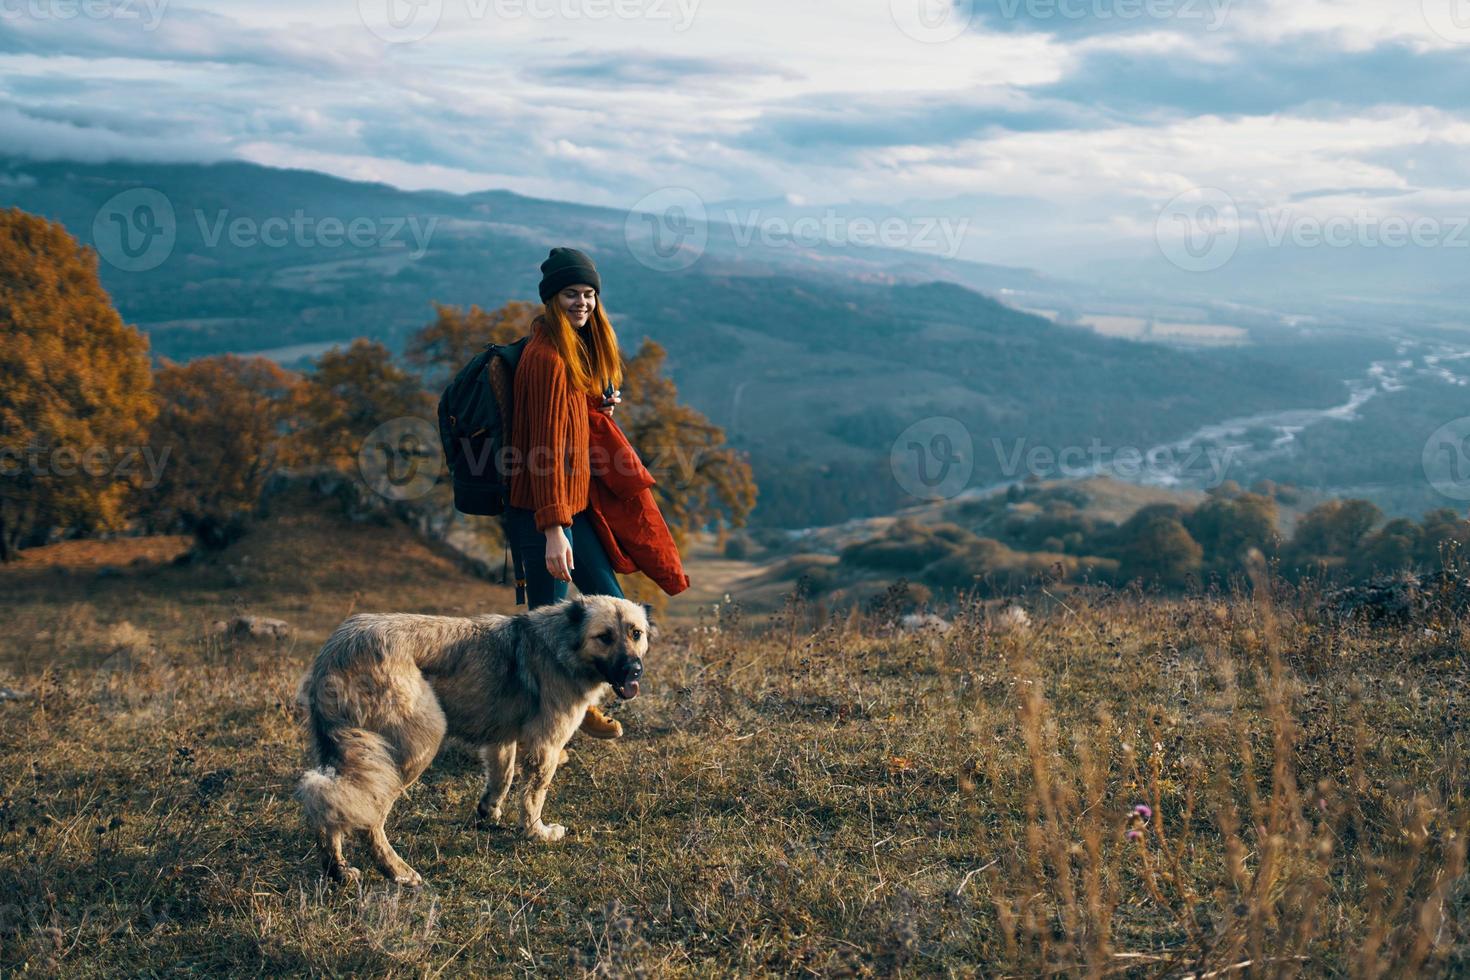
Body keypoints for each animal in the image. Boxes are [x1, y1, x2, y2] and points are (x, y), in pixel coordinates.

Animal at [292, 593, 649, 887]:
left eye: (636, 633)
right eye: (604, 637)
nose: (634, 670)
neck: (561, 645)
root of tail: (336, 651)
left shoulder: (501, 739)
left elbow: (502, 777)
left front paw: (489, 812)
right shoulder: (546, 745)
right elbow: (534, 796)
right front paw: (537, 832)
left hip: (344, 754)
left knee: (331, 804)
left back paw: (337, 869)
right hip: (415, 744)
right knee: (370, 818)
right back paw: (396, 870)